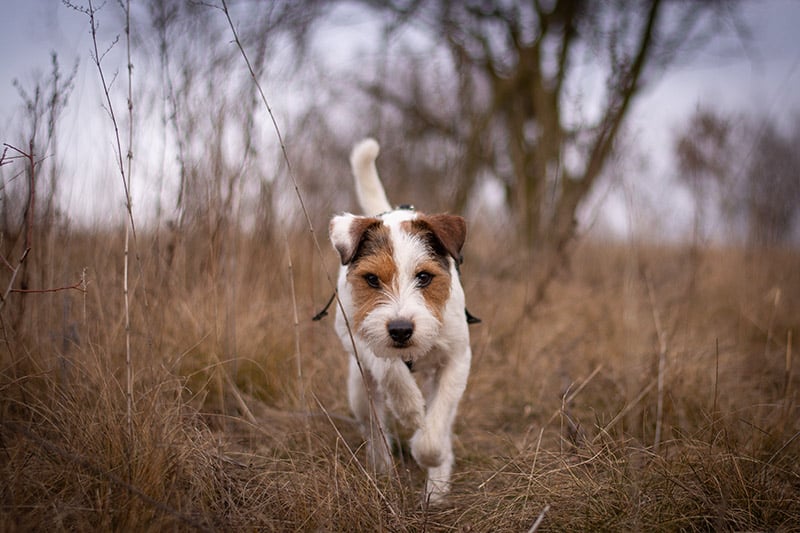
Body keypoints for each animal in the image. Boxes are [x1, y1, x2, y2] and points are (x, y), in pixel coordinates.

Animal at [328, 137, 472, 502]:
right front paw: (408, 407)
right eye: (371, 279)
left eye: (424, 277)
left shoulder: (457, 359)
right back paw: (382, 465)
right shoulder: (358, 336)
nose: (401, 330)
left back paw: (437, 487)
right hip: (357, 390)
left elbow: (435, 431)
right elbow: (388, 367)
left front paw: (431, 456)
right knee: (374, 425)